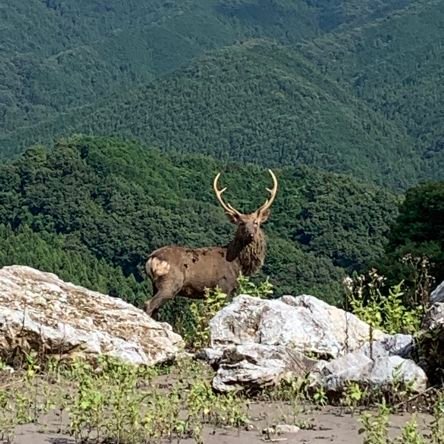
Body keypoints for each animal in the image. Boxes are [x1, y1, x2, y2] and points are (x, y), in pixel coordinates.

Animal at [145, 168, 278, 318]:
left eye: (256, 223)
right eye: (241, 223)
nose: (251, 234)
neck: (238, 265)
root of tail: (152, 258)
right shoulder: (224, 287)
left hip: (155, 285)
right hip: (171, 282)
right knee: (149, 304)